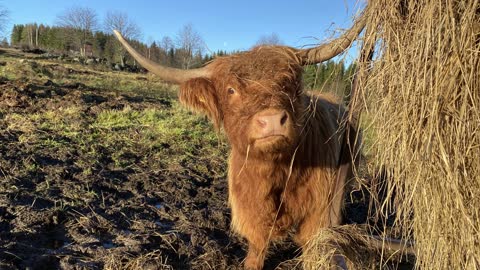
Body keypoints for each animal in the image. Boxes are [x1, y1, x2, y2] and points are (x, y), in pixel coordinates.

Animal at [113, 15, 368, 270]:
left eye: (289, 83)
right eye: (231, 90)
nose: (272, 120)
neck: (275, 170)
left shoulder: (316, 212)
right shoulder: (250, 209)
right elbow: (256, 249)